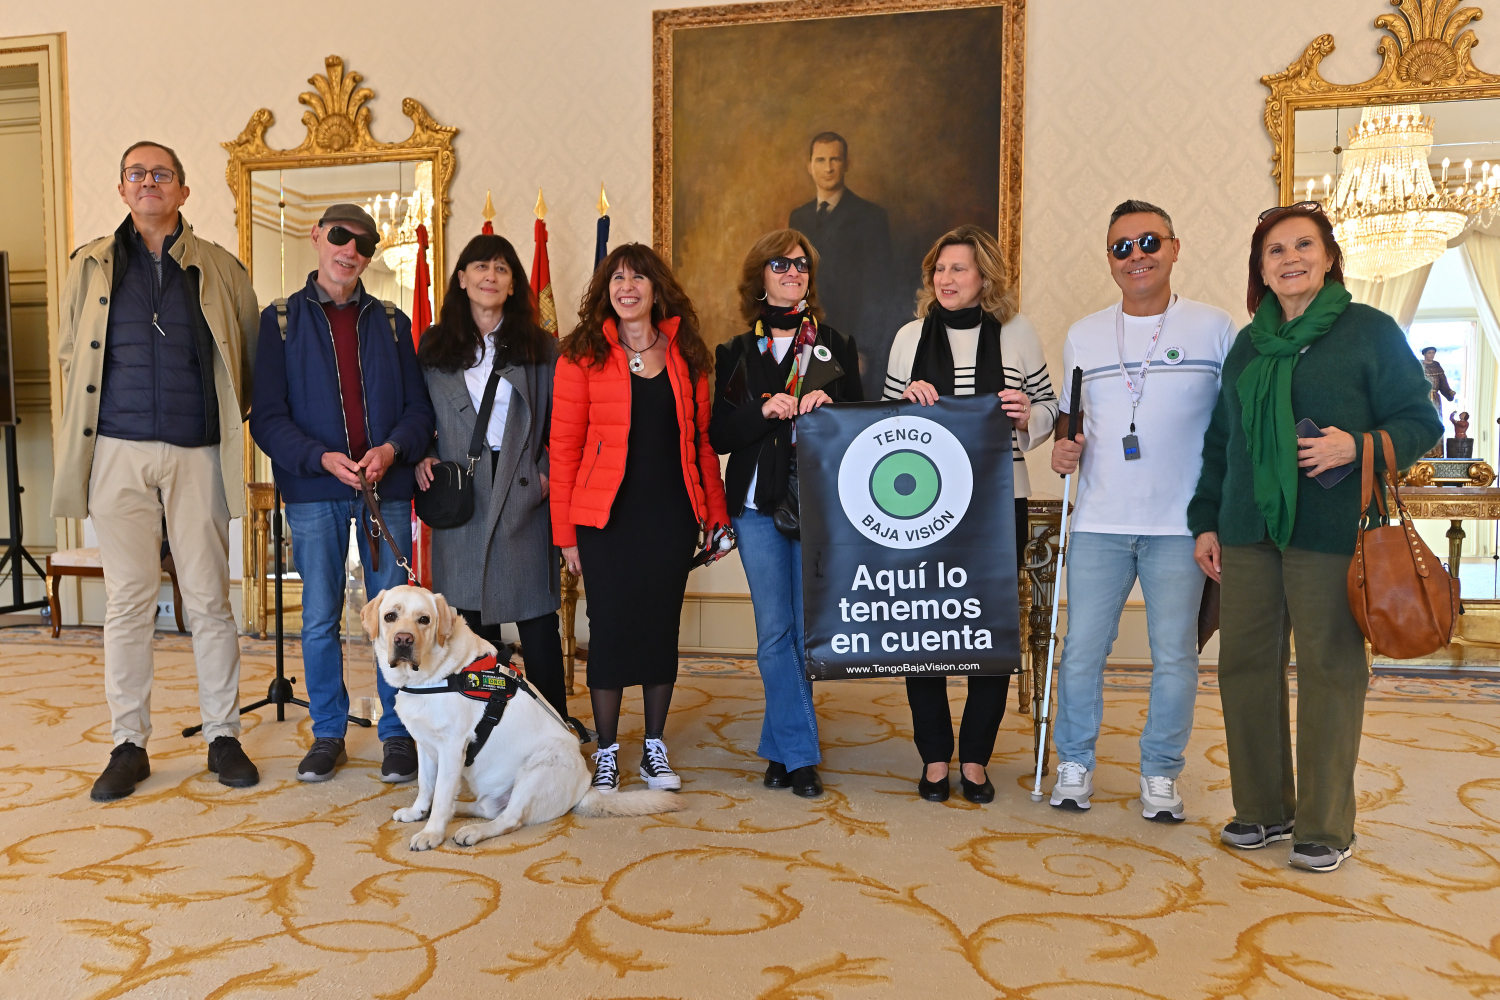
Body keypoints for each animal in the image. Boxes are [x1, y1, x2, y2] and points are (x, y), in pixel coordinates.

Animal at [366, 581, 684, 851]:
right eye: (390, 616)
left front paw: (431, 832)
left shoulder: (452, 747)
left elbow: (442, 794)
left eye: (424, 620)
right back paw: (462, 810)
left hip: (536, 771)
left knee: (509, 819)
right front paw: (419, 811)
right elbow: (426, 785)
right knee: (489, 809)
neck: (434, 677)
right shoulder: (425, 744)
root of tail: (584, 788)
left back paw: (472, 830)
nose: (403, 640)